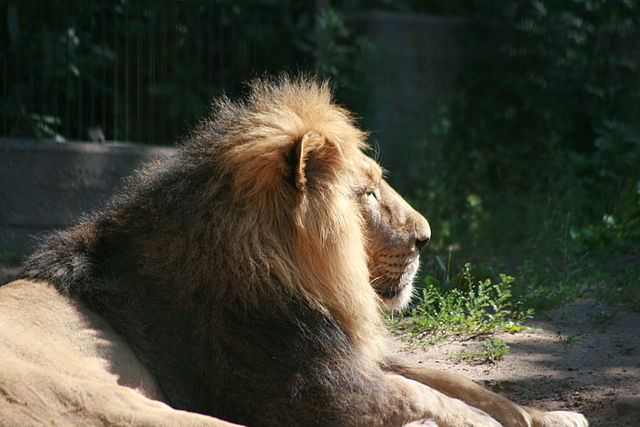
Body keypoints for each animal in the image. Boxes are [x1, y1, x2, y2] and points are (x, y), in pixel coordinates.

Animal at [0, 77, 588, 427]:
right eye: (367, 192)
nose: (425, 237)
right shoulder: (315, 391)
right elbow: (429, 396)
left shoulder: (349, 356)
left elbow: (464, 385)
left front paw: (553, 417)